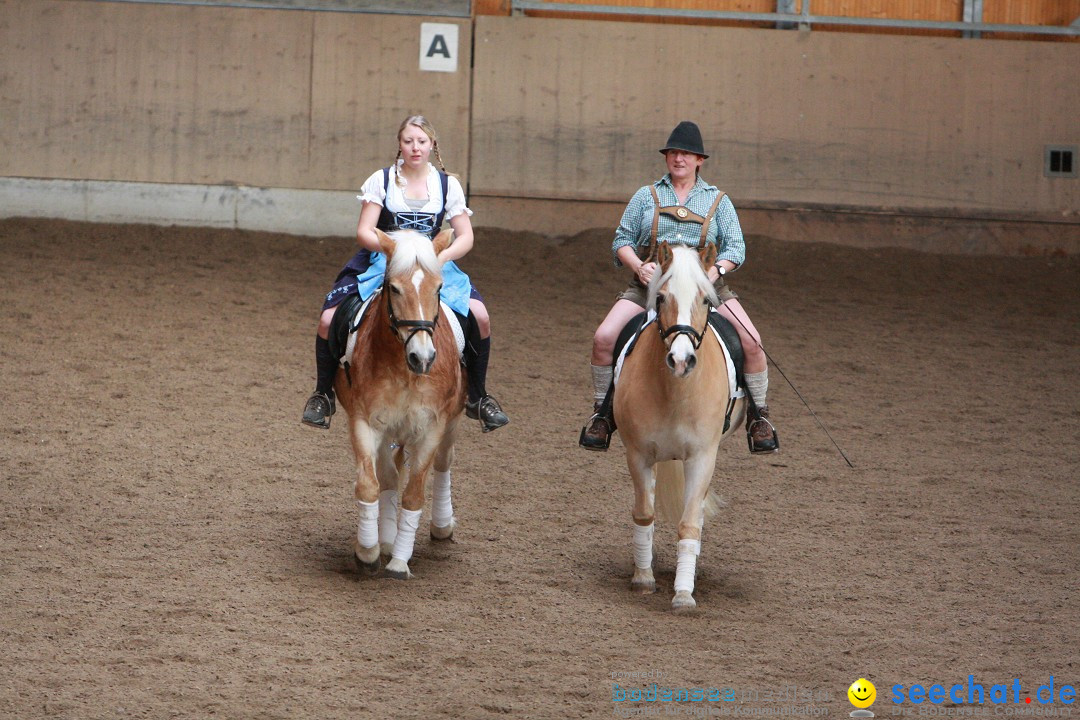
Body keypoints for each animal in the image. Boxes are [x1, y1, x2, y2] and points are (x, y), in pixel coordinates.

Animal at [336, 229, 464, 578]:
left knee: (444, 462)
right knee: (389, 477)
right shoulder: (366, 421)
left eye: (439, 288)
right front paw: (368, 552)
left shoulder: (432, 427)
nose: (423, 357)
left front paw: (398, 562)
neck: (403, 369)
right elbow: (370, 484)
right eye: (394, 288)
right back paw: (386, 539)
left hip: (453, 419)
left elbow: (415, 494)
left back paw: (441, 526)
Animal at [613, 240, 747, 608]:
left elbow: (689, 524)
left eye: (705, 300)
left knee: (695, 512)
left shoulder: (702, 457)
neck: (676, 392)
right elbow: (644, 513)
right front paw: (643, 578)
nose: (681, 360)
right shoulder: (638, 454)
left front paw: (684, 594)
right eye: (660, 298)